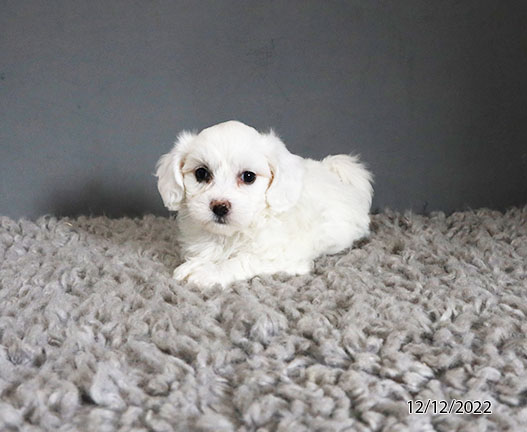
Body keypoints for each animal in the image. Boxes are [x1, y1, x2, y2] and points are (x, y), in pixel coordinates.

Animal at [155, 120, 374, 286]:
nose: (219, 206)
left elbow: (241, 260)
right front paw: (197, 264)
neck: (230, 235)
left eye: (248, 176)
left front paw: (207, 271)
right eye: (201, 173)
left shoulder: (282, 257)